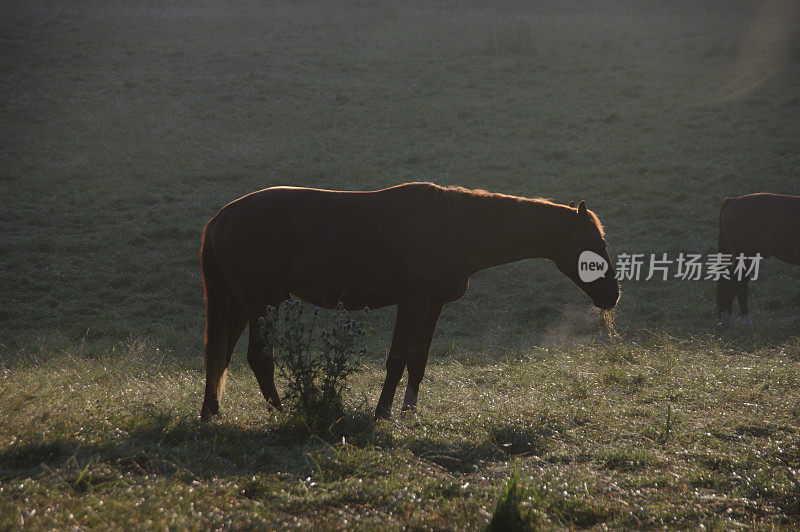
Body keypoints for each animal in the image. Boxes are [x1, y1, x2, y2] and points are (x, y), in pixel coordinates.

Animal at [198, 183, 620, 420]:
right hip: (260, 304)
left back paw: (212, 412)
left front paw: (409, 411)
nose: (612, 296)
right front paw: (383, 412)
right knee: (258, 358)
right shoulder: (413, 302)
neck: (456, 227)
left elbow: (417, 361)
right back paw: (281, 412)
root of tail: (221, 219)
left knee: (220, 355)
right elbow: (397, 359)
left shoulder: (432, 306)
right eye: (594, 246)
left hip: (240, 304)